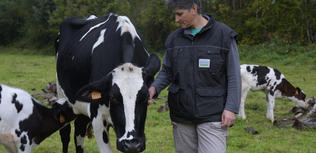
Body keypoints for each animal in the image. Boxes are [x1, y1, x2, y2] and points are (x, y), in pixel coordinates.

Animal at [55, 13, 160, 153]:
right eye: (113, 97)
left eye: (145, 97)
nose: (131, 144)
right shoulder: (97, 117)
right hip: (62, 97)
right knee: (65, 134)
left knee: (79, 131)